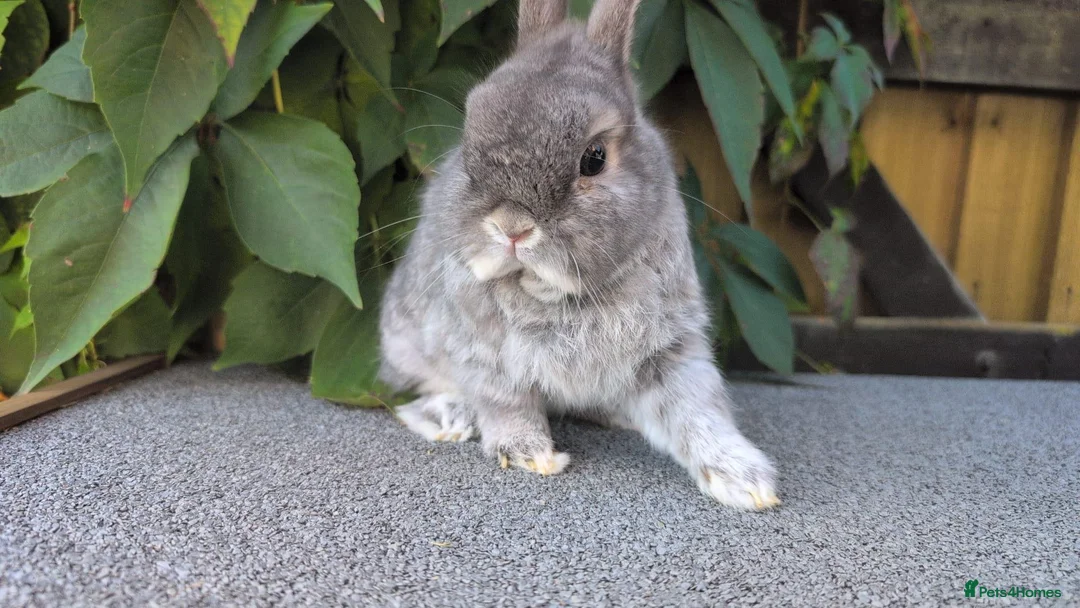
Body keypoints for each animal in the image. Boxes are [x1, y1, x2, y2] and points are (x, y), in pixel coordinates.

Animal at [379, 0, 780, 510]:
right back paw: (449, 419)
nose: (511, 227)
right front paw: (530, 455)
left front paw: (747, 482)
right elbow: (505, 404)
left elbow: (697, 410)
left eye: (594, 157)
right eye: (469, 142)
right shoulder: (484, 354)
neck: (558, 294)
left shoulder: (670, 350)